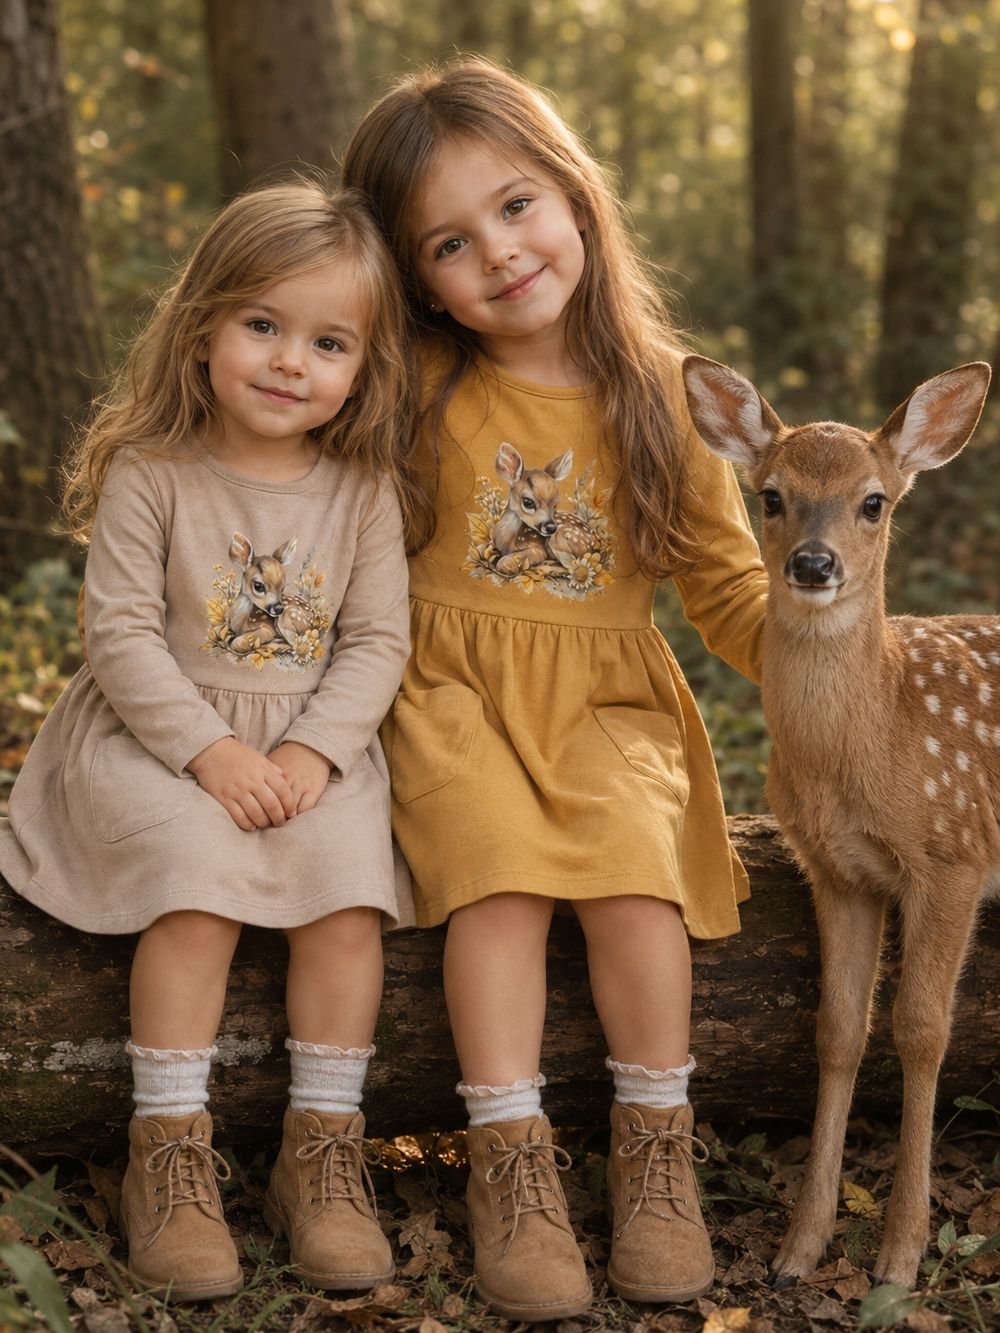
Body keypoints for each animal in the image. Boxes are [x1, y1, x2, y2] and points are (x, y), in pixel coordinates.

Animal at [492, 443, 594, 576]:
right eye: (528, 502)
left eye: (555, 504)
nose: (551, 527)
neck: (506, 540)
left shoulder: (538, 549)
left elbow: (503, 562)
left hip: (561, 537)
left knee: (574, 566)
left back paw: (544, 568)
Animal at [681, 354, 996, 1290]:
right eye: (771, 494)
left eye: (874, 501)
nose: (814, 565)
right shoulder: (836, 869)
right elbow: (836, 1031)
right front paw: (799, 1246)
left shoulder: (954, 852)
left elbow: (922, 1030)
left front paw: (900, 1253)